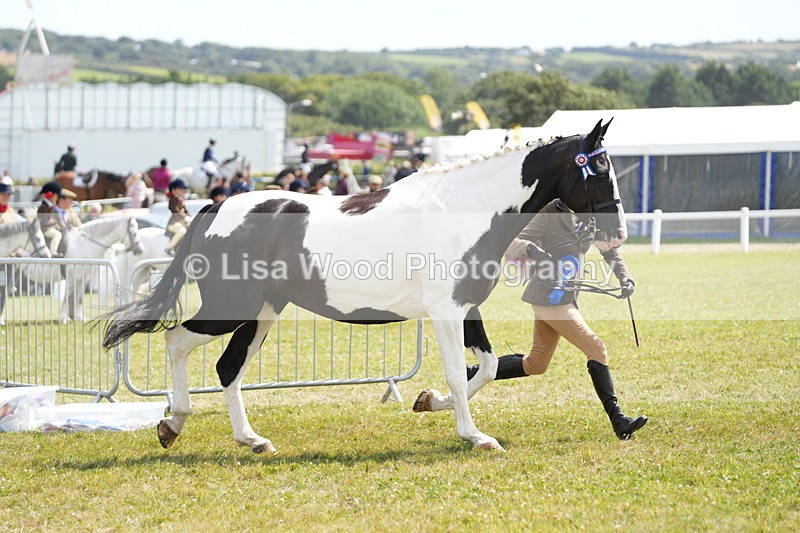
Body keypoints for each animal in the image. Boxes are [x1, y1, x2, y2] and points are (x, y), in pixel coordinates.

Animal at [102, 120, 625, 454]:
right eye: (598, 170)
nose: (615, 233)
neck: (466, 210)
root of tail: (214, 207)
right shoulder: (446, 311)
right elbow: (460, 374)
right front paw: (476, 437)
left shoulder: (465, 308)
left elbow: (489, 366)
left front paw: (428, 402)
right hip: (233, 307)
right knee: (177, 340)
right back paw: (173, 423)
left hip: (263, 311)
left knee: (228, 367)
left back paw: (249, 440)